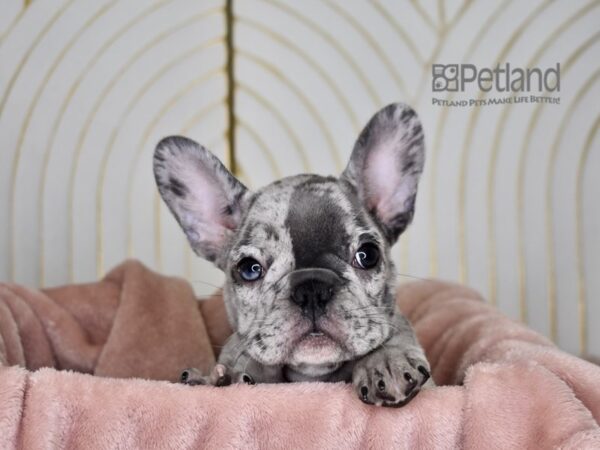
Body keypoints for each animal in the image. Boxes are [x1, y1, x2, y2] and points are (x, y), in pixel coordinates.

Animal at [154, 103, 432, 406]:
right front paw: (220, 379)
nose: (312, 289)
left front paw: (386, 361)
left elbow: (395, 331)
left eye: (367, 255)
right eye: (249, 268)